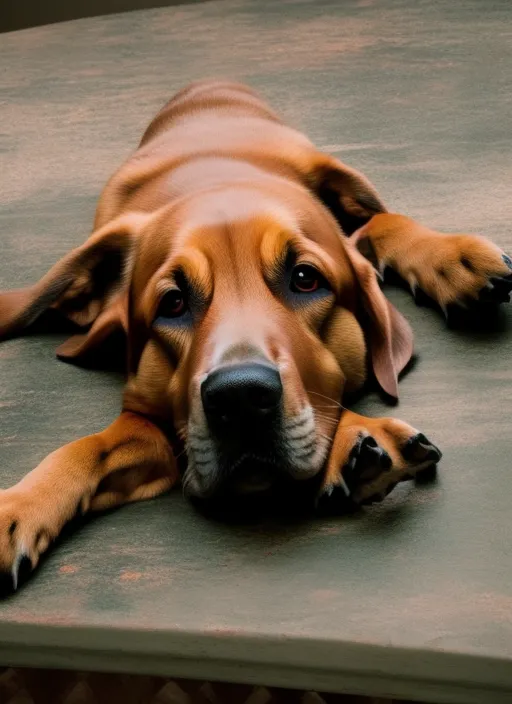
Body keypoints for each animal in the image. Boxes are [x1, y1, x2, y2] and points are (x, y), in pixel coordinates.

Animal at [1, 80, 512, 592]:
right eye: (173, 303)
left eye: (305, 278)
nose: (241, 398)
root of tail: (209, 84)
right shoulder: (151, 423)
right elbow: (88, 447)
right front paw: (19, 507)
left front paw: (356, 434)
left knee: (379, 220)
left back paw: (458, 259)